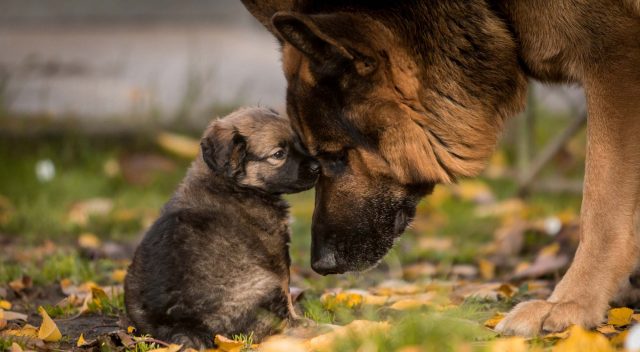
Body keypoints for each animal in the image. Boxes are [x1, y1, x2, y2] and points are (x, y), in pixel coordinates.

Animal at [124, 108, 318, 350]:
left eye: (299, 142)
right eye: (279, 154)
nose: (318, 167)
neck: (231, 183)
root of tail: (181, 324)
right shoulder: (276, 254)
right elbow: (286, 288)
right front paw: (298, 317)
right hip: (264, 283)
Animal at [241, 0, 640, 336]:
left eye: (335, 156)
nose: (320, 265)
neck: (497, 10)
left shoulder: (615, 56)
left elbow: (601, 208)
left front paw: (571, 302)